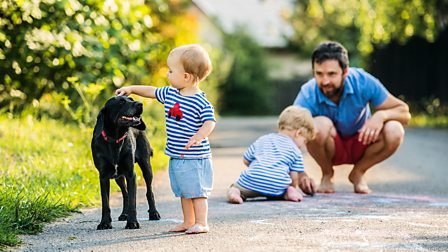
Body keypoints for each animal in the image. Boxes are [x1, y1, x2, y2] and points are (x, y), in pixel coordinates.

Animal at [91, 95, 161, 229]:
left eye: (131, 99)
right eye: (121, 102)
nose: (140, 104)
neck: (115, 139)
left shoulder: (130, 174)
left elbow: (133, 202)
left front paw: (132, 222)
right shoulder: (103, 177)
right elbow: (105, 203)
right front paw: (105, 222)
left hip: (146, 167)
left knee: (149, 191)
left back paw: (154, 213)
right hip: (119, 177)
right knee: (125, 193)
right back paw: (124, 214)